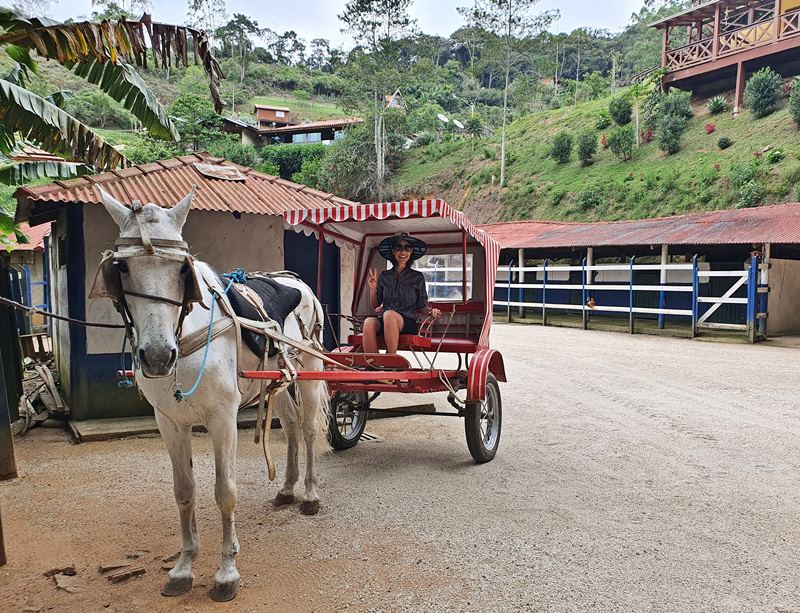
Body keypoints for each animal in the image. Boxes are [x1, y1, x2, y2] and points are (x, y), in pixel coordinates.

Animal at [92, 189, 330, 600]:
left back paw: (310, 495)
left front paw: (226, 572)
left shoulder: (222, 418)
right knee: (292, 427)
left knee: (310, 429)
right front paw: (184, 566)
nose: (158, 355)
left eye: (181, 271)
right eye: (121, 268)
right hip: (277, 380)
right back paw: (287, 489)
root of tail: (294, 280)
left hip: (310, 370)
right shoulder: (169, 422)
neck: (187, 333)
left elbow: (225, 492)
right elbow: (184, 491)